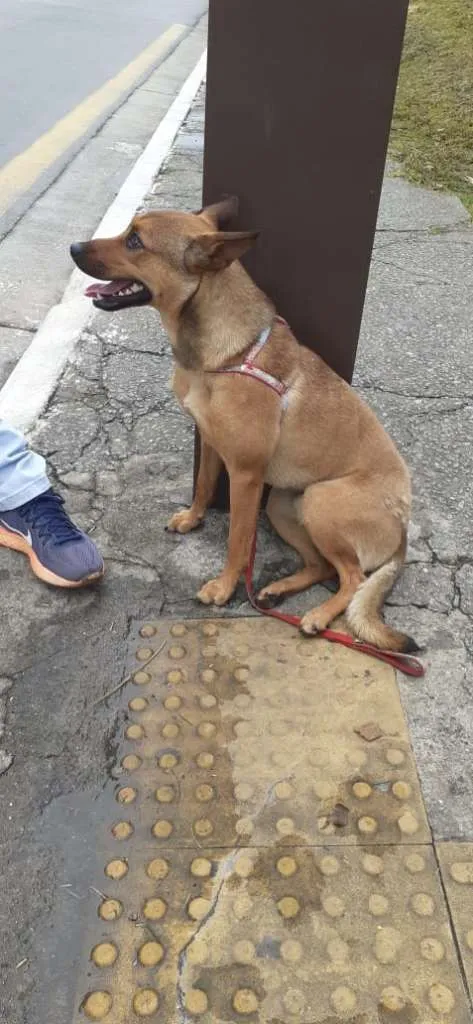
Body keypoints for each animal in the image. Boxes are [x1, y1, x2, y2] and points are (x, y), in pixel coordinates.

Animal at [70, 195, 417, 651]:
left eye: (134, 241)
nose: (73, 248)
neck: (226, 354)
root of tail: (403, 527)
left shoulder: (246, 476)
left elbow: (238, 538)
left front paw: (224, 587)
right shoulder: (211, 445)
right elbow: (202, 485)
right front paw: (193, 518)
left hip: (319, 501)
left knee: (354, 577)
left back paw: (318, 615)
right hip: (284, 504)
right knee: (323, 567)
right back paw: (277, 590)